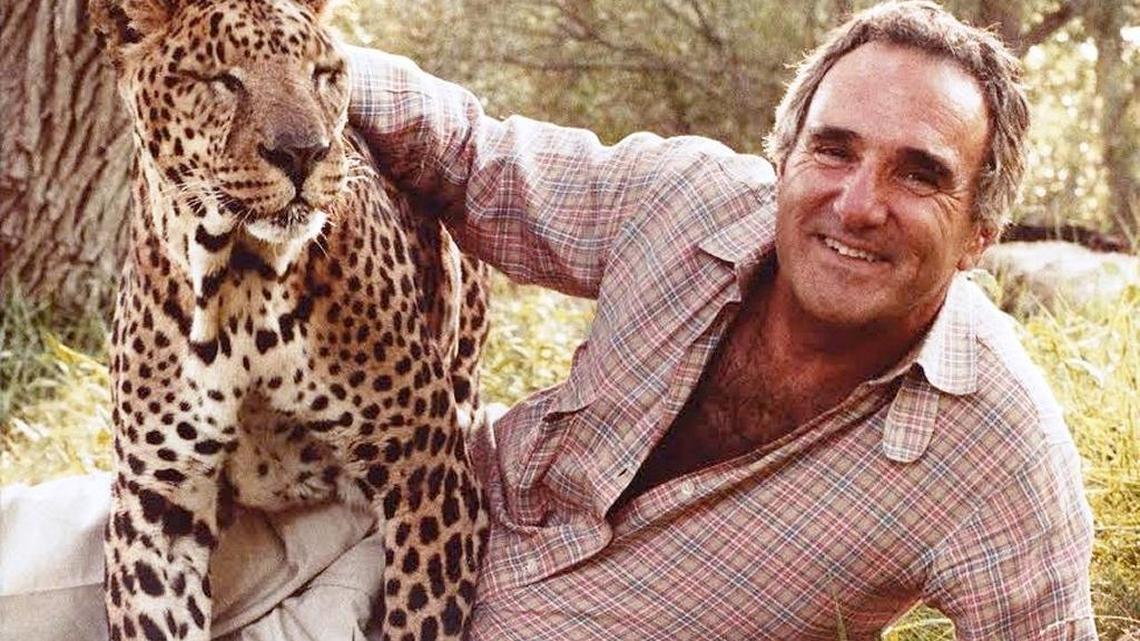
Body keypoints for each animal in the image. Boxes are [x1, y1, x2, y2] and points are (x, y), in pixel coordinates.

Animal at [89, 1, 490, 639]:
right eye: (223, 79)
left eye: (322, 74)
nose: (304, 153)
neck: (239, 282)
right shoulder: (156, 503)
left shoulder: (425, 469)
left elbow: (420, 615)